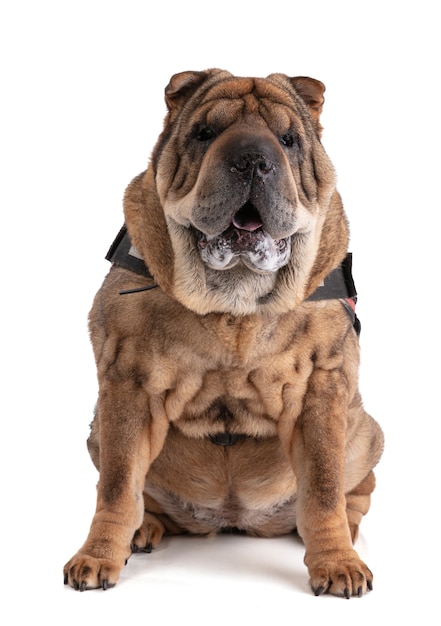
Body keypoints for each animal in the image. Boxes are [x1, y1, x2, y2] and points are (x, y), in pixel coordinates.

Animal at [63, 68, 384, 596]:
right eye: (205, 133)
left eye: (288, 140)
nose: (252, 159)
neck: (235, 300)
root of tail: (232, 519)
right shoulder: (127, 384)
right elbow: (117, 484)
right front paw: (98, 556)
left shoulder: (321, 388)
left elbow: (322, 487)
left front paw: (338, 564)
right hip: (96, 430)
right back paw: (145, 530)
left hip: (364, 432)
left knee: (352, 492)